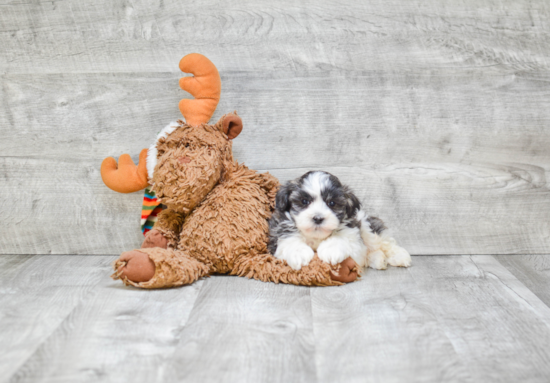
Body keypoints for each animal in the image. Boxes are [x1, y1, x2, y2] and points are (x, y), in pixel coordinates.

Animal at [270, 171, 412, 272]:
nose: (318, 218)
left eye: (332, 203)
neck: (317, 237)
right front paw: (298, 252)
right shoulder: (278, 232)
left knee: (384, 242)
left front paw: (330, 250)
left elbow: (342, 238)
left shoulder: (354, 235)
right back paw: (378, 259)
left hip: (366, 226)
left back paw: (399, 256)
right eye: (304, 201)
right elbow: (289, 240)